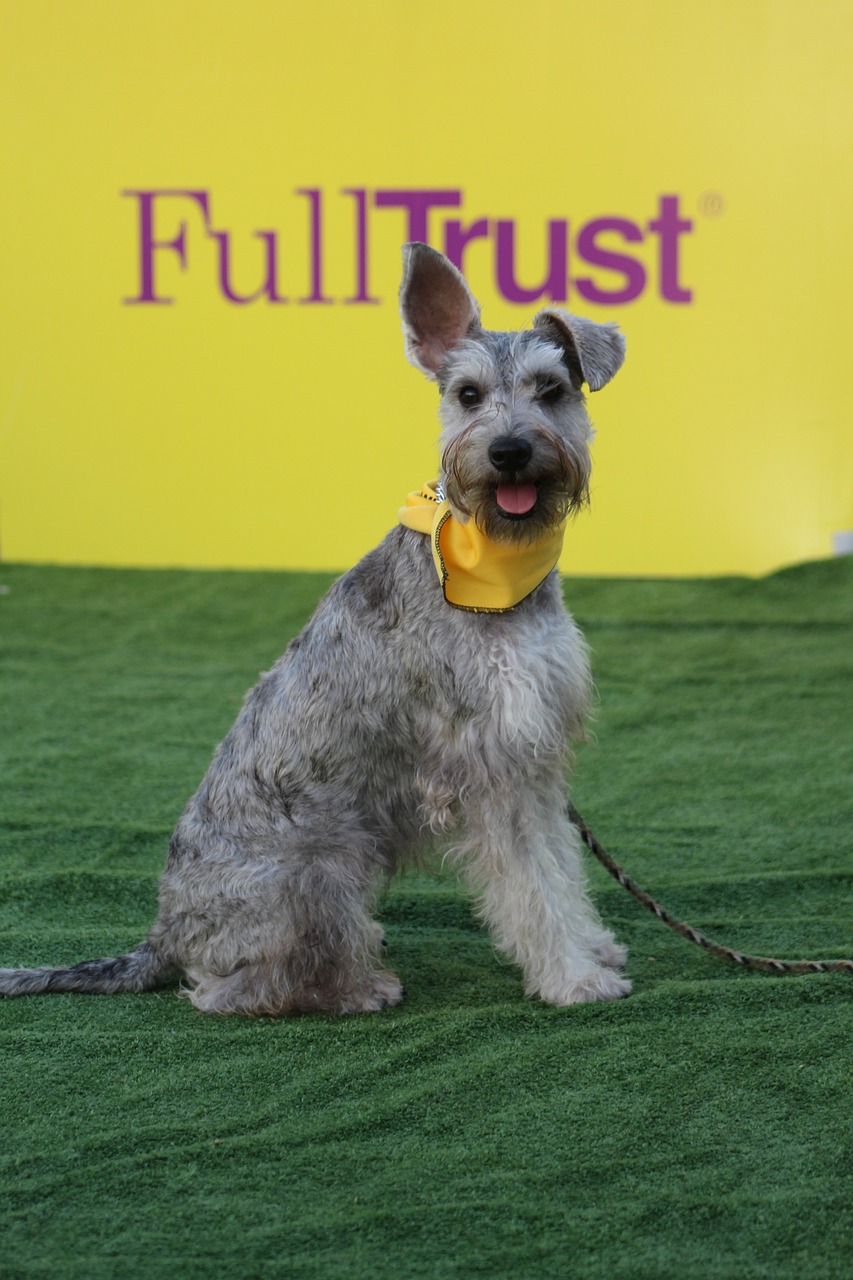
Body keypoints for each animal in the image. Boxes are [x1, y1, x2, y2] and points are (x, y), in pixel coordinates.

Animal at [0, 244, 625, 1013]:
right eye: (468, 396)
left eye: (551, 389)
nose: (508, 451)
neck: (492, 568)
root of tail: (163, 932)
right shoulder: (492, 766)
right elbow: (532, 886)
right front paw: (573, 976)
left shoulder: (534, 758)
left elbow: (559, 870)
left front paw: (592, 947)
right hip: (320, 876)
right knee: (232, 985)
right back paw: (359, 987)